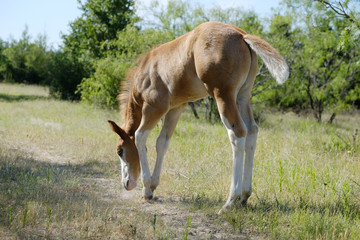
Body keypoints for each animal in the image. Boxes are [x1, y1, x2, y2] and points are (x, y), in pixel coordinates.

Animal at [108, 21, 288, 211]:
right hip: (243, 95)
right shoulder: (175, 108)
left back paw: (231, 201)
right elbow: (162, 142)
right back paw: (244, 196)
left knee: (238, 133)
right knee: (252, 131)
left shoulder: (154, 107)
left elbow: (140, 136)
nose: (126, 184)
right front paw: (153, 185)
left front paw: (146, 190)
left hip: (223, 95)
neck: (146, 71)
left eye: (120, 151)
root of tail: (241, 35)